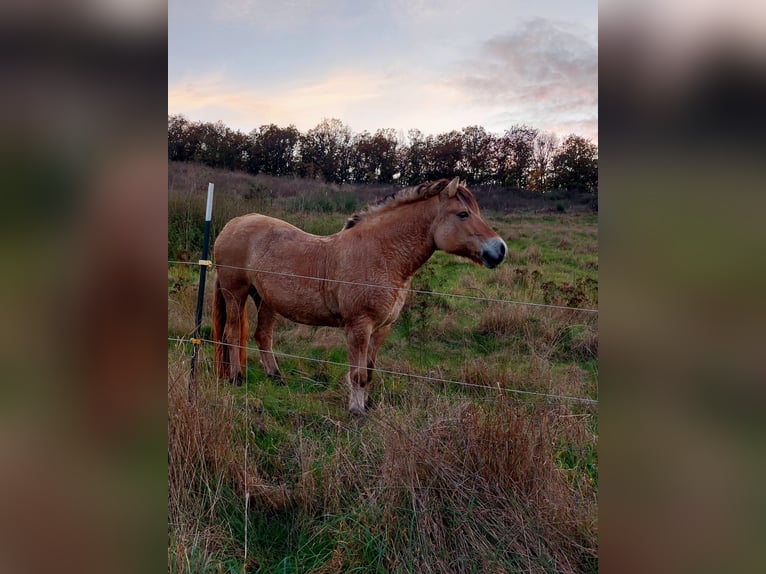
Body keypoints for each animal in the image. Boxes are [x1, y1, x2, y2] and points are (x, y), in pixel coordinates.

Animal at [213, 178, 508, 416]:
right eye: (462, 214)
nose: (500, 250)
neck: (381, 254)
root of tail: (232, 224)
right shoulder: (359, 326)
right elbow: (357, 374)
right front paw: (356, 411)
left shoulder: (381, 328)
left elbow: (368, 371)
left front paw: (365, 407)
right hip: (235, 293)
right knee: (232, 333)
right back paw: (236, 378)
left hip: (265, 300)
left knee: (263, 336)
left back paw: (276, 377)